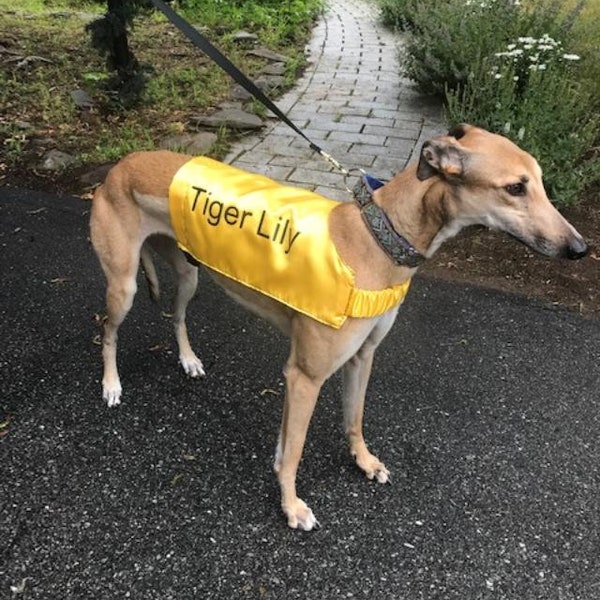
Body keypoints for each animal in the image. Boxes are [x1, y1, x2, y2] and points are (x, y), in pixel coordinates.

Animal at [89, 125, 584, 528]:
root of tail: (122, 164)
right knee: (109, 331)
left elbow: (353, 419)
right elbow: (293, 451)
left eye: (539, 181)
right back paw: (111, 385)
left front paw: (363, 462)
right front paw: (291, 506)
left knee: (177, 316)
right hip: (123, 285)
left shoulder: (362, 357)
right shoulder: (304, 376)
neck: (378, 238)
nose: (579, 248)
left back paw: (189, 360)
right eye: (515, 187)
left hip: (189, 274)